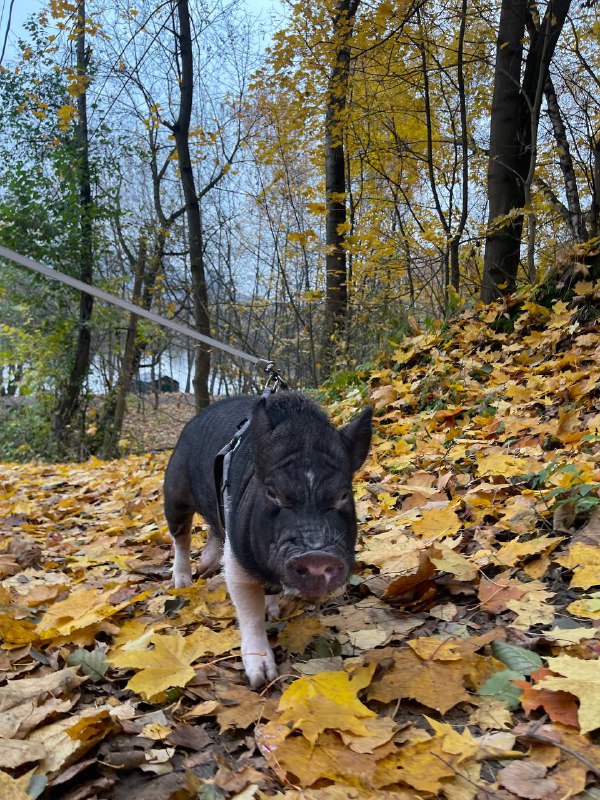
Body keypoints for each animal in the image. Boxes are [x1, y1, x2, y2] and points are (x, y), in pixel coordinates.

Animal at [164, 390, 370, 684]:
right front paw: (262, 677)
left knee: (214, 530)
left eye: (343, 495)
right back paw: (183, 582)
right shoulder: (238, 560)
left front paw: (273, 612)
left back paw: (206, 565)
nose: (316, 555)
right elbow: (249, 612)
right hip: (175, 493)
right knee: (181, 537)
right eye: (273, 492)